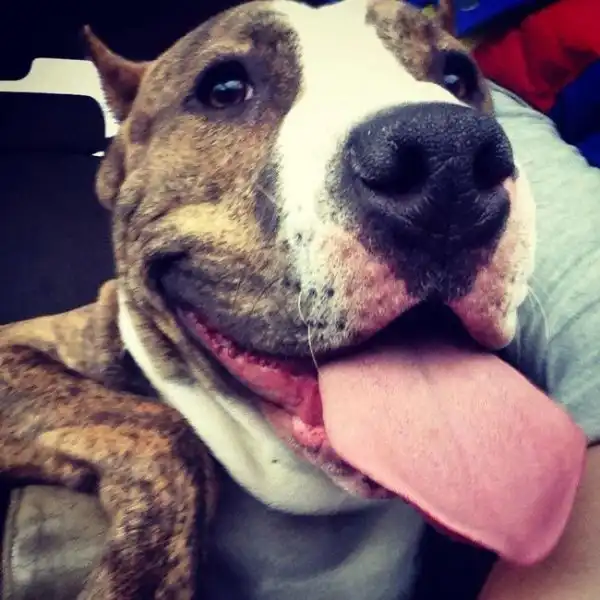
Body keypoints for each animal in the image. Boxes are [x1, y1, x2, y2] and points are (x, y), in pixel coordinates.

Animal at [0, 0, 552, 598]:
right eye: (223, 88)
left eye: (457, 76)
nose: (448, 155)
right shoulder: (20, 351)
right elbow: (161, 429)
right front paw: (140, 577)